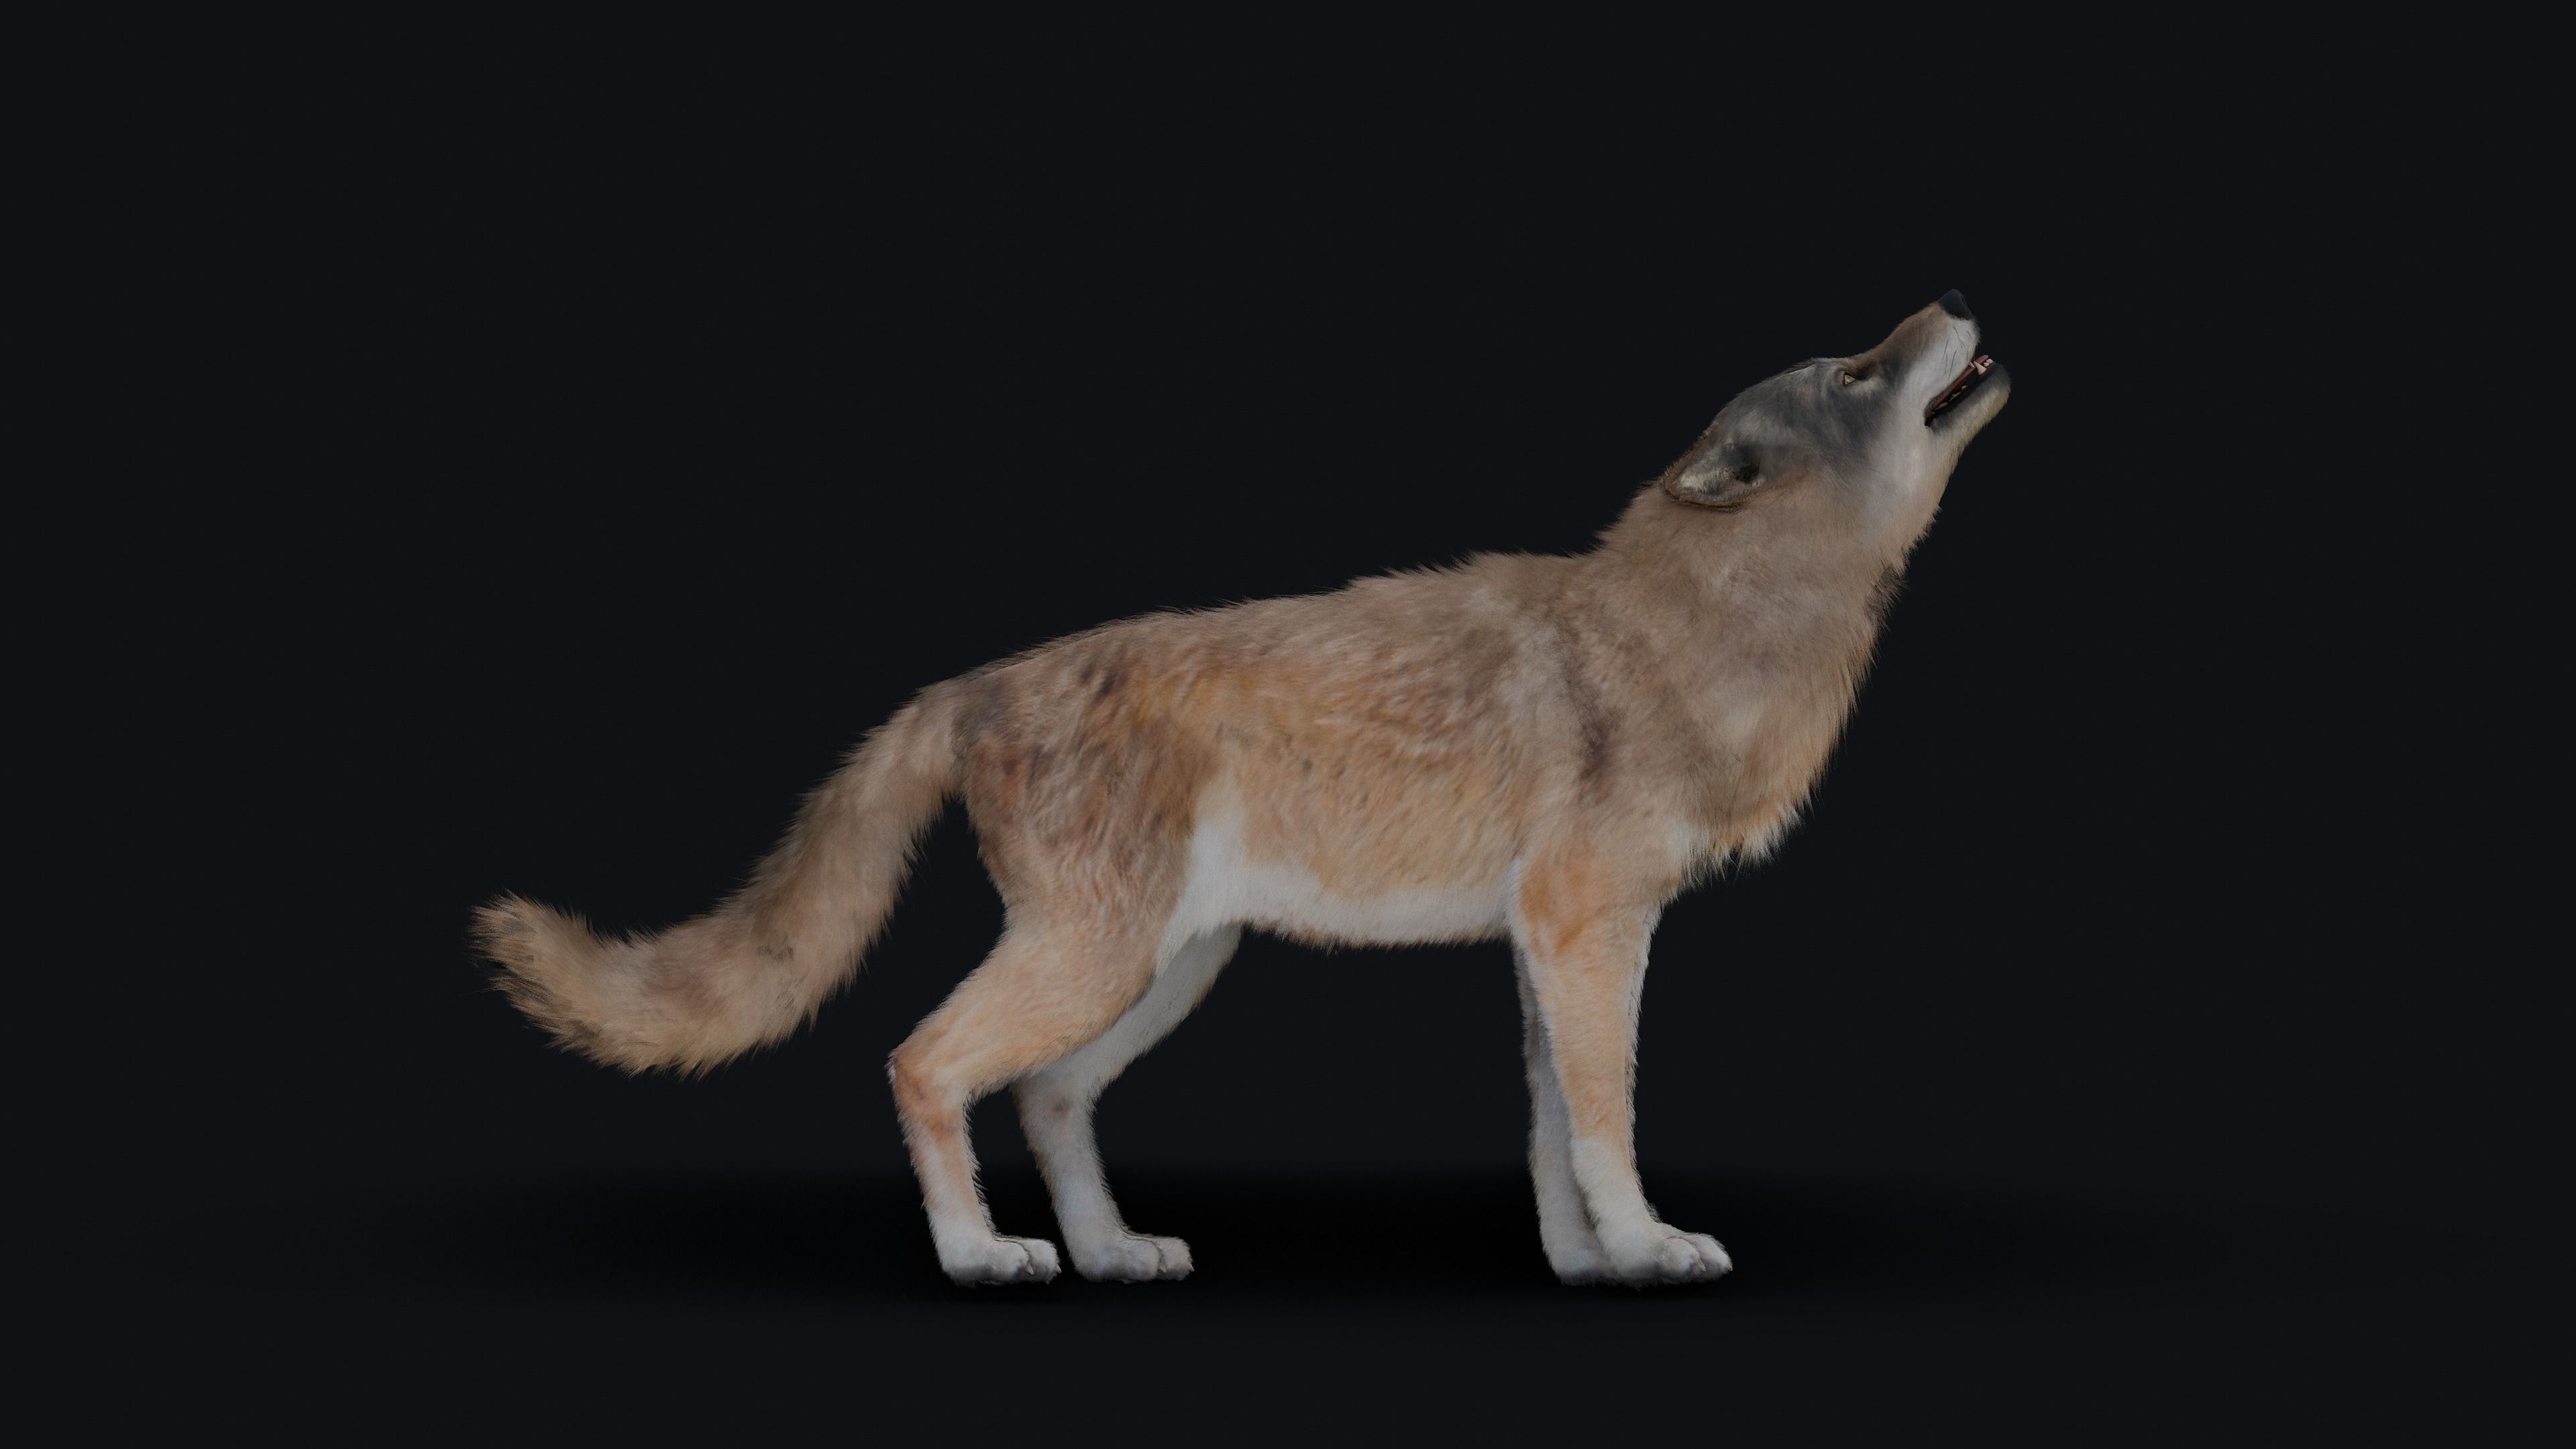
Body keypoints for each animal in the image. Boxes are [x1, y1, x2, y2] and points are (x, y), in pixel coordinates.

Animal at [475, 291, 2010, 1287]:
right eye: (1856, 373)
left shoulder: (1548, 947)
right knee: (924, 1059)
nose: (1946, 297)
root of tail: (973, 682)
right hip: (1102, 965)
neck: (1707, 624)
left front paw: (1583, 1265)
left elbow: (1552, 1135)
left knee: (1043, 1098)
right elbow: (1605, 1123)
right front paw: (1646, 1249)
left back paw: (1109, 1252)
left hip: (1165, 973)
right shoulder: (1592, 935)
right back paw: (982, 1255)